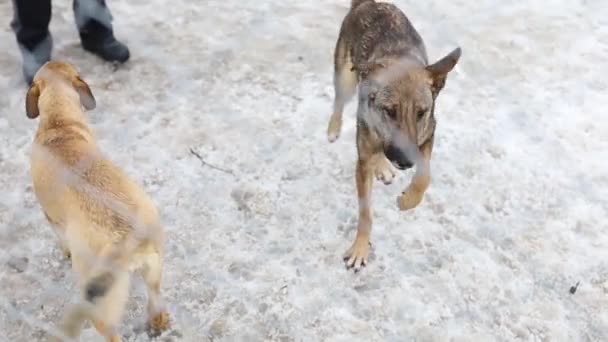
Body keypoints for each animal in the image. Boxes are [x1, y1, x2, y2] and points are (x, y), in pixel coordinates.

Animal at [25, 62, 169, 342]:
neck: (60, 123)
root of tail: (126, 237)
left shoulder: (50, 216)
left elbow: (60, 237)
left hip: (98, 303)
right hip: (154, 272)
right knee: (156, 303)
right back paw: (158, 322)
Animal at [328, 0, 460, 272]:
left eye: (421, 112)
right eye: (389, 111)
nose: (405, 161)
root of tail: (369, 3)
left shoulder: (428, 133)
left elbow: (424, 176)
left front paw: (408, 200)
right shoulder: (363, 160)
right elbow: (365, 212)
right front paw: (360, 248)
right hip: (345, 75)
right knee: (339, 100)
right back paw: (334, 128)